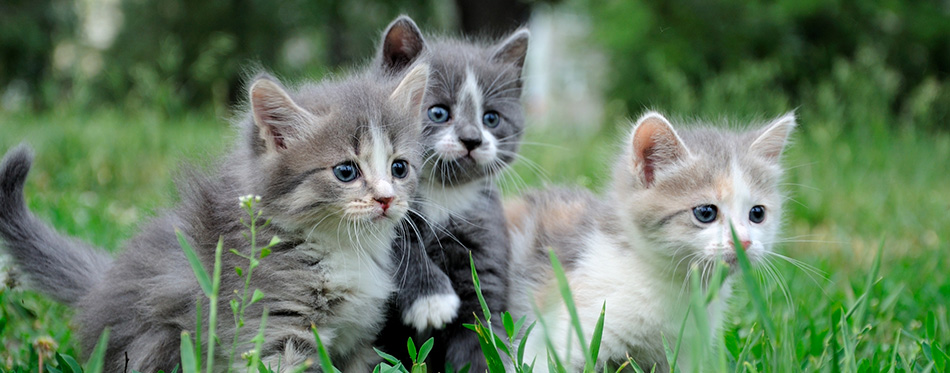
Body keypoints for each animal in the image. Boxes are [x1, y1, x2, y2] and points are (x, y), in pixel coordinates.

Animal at [0, 64, 432, 372]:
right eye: (346, 171)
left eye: (399, 168)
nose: (386, 199)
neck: (343, 247)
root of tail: (102, 285)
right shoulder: (274, 329)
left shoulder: (358, 340)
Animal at [372, 16, 532, 370]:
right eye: (438, 113)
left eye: (491, 118)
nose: (472, 139)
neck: (442, 194)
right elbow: (399, 247)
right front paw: (432, 300)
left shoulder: (484, 238)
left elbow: (481, 330)